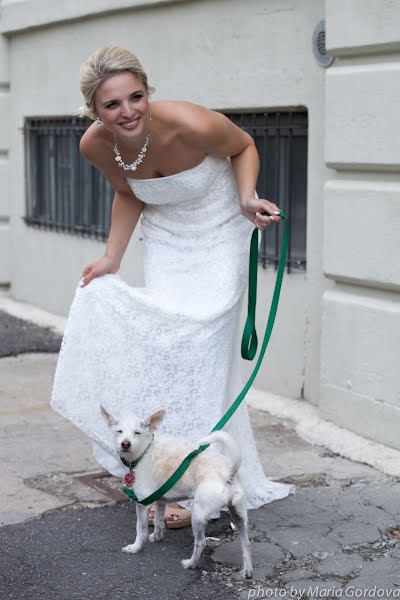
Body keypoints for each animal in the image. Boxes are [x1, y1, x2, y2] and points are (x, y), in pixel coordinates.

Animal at [101, 406, 253, 580]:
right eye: (119, 431)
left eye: (137, 433)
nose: (125, 444)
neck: (145, 451)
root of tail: (228, 472)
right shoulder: (160, 499)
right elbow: (159, 520)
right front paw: (157, 536)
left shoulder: (143, 503)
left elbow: (140, 528)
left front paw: (136, 547)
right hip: (239, 514)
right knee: (246, 542)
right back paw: (247, 571)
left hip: (198, 514)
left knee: (201, 542)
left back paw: (191, 564)